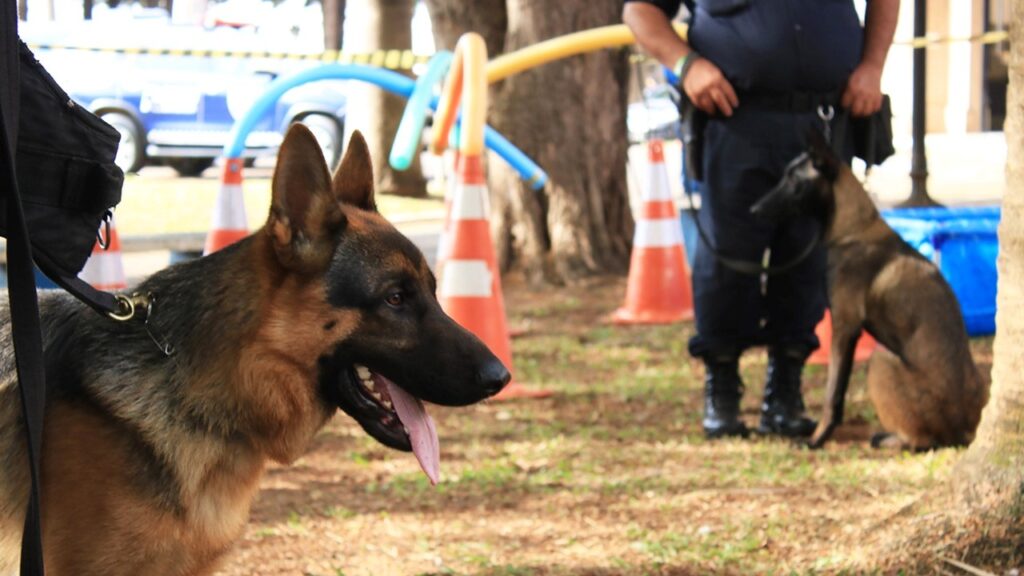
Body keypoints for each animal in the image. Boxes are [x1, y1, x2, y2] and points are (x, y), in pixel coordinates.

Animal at [749, 133, 987, 448]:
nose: (753, 210)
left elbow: (833, 394)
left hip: (881, 358)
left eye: (793, 180)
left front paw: (816, 440)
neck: (853, 230)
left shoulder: (844, 327)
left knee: (924, 441)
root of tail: (965, 430)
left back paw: (892, 439)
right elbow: (837, 394)